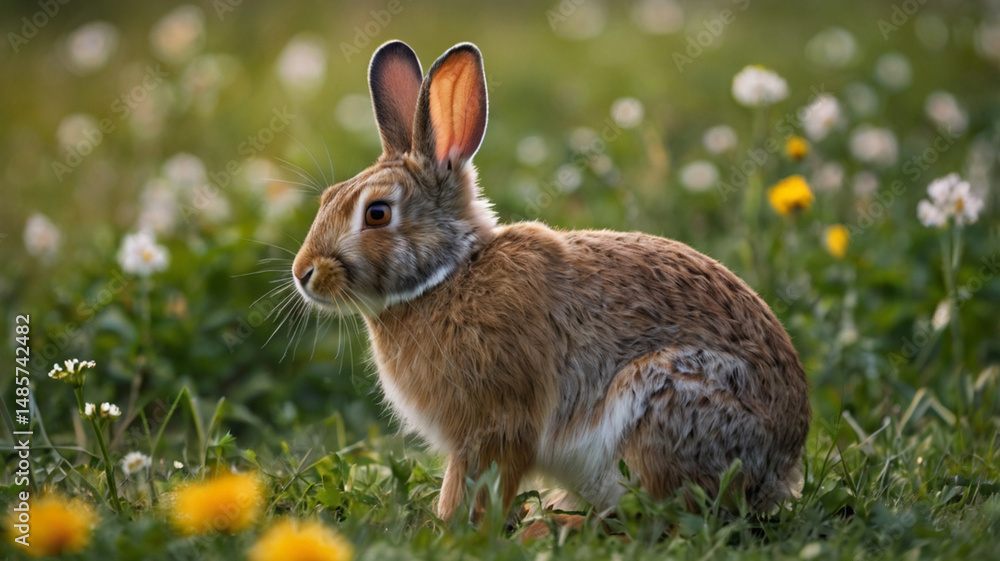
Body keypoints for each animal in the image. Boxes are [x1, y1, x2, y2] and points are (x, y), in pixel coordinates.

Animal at [291, 40, 811, 523]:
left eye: (377, 214)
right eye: (327, 198)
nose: (303, 274)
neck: (446, 276)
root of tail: (780, 468)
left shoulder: (495, 424)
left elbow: (477, 485)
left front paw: (453, 529)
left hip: (662, 407)